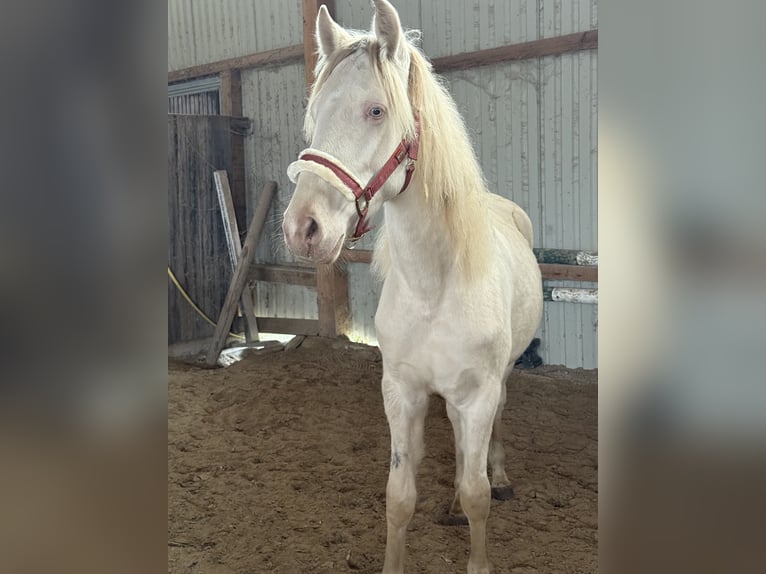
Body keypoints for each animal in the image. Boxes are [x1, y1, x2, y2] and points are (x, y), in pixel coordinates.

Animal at [282, 2, 543, 572]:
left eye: (377, 111)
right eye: (315, 114)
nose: (301, 228)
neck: (434, 289)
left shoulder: (478, 394)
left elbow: (477, 494)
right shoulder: (401, 392)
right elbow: (400, 495)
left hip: (500, 380)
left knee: (491, 438)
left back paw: (501, 475)